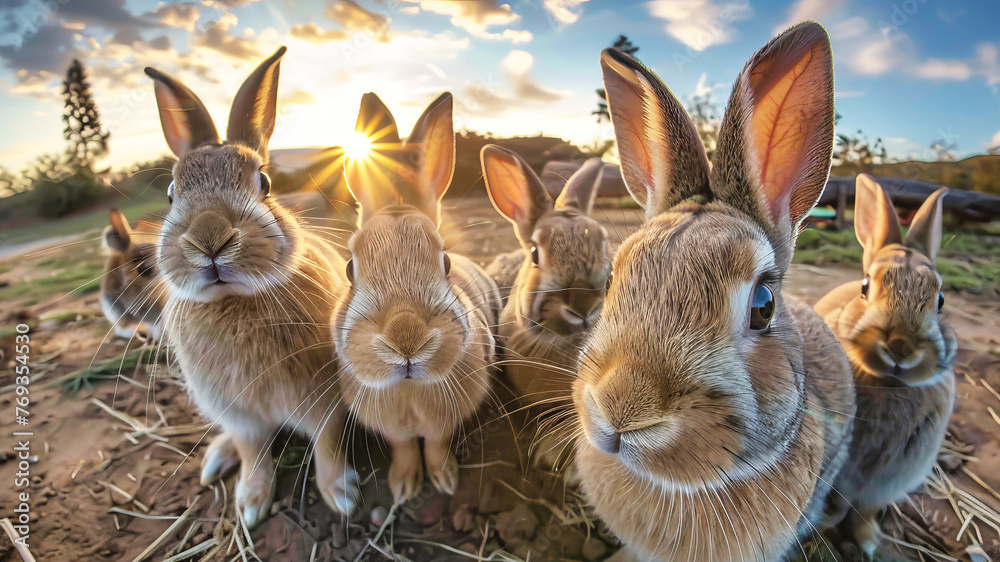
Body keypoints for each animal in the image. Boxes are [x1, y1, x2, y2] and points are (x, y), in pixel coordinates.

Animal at [146, 46, 358, 527]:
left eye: (265, 183)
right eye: (170, 193)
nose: (208, 239)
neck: (236, 301)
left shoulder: (325, 401)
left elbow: (328, 443)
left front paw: (341, 495)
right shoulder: (239, 413)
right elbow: (252, 451)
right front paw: (250, 504)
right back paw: (215, 460)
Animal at [332, 92, 501, 505]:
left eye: (446, 262)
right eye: (349, 268)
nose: (405, 340)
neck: (409, 391)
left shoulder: (444, 423)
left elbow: (436, 445)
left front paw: (444, 479)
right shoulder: (391, 428)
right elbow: (404, 448)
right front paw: (404, 485)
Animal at [815, 174, 956, 558]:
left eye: (941, 299)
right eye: (866, 287)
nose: (900, 347)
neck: (888, 383)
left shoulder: (882, 484)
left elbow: (865, 512)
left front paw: (866, 544)